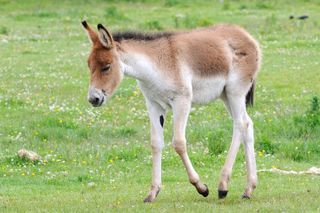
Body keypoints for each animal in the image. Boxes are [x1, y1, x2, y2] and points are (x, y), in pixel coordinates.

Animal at [81, 20, 262, 202]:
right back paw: (249, 188)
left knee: (240, 125)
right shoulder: (153, 105)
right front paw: (153, 192)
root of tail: (246, 35)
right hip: (226, 96)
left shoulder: (181, 101)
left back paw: (223, 185)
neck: (155, 66)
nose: (93, 99)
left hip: (235, 92)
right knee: (248, 125)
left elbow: (179, 143)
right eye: (89, 65)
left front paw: (201, 187)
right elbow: (155, 144)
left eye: (106, 67)